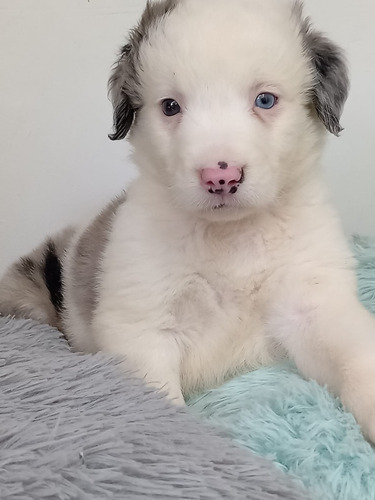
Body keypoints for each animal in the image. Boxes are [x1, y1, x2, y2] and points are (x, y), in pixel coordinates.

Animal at [3, 0, 375, 444]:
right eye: (170, 106)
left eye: (265, 100)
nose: (221, 177)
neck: (231, 236)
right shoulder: (142, 325)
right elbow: (161, 406)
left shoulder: (314, 301)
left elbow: (354, 355)